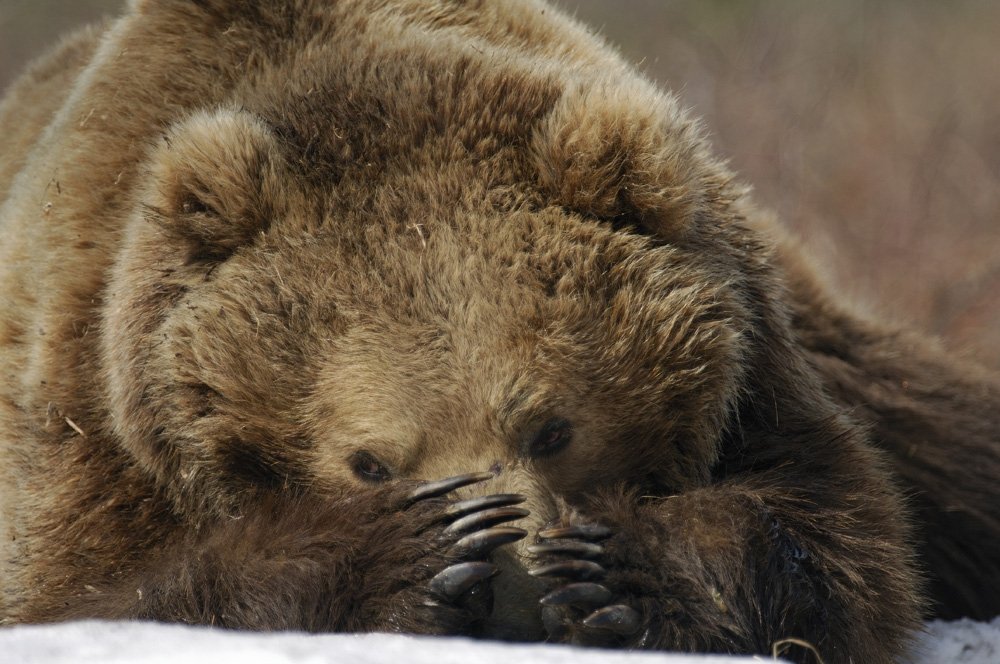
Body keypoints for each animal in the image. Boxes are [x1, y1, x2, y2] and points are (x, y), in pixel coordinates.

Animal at [0, 1, 998, 662]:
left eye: (550, 427)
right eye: (370, 461)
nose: (510, 598)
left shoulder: (754, 367)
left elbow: (840, 536)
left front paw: (613, 569)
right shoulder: (99, 412)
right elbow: (82, 590)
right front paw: (409, 557)